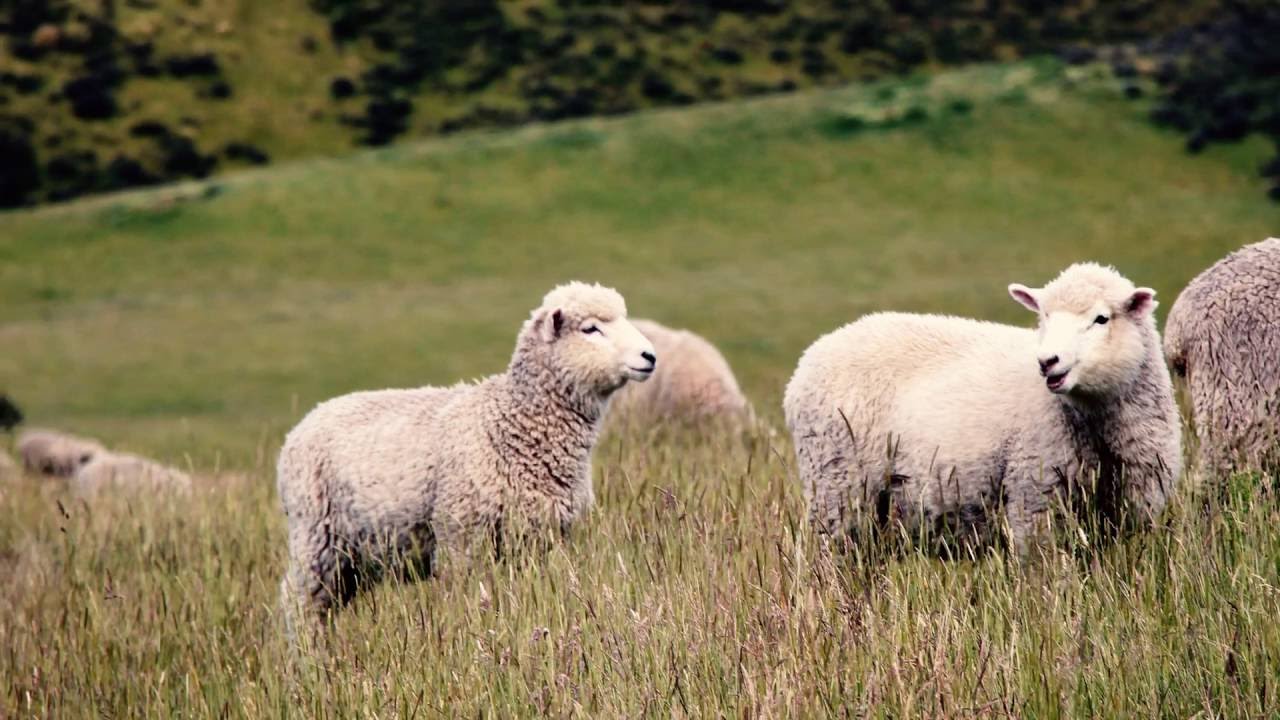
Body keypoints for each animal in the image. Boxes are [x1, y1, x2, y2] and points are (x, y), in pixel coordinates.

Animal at [280, 280, 660, 617]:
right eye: (590, 329)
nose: (650, 356)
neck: (509, 423)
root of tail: (306, 421)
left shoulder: (544, 538)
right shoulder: (461, 537)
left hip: (356, 554)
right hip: (315, 536)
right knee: (300, 603)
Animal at [783, 260, 1182, 550]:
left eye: (1101, 319)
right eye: (1043, 317)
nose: (1047, 361)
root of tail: (807, 360)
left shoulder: (1132, 512)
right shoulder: (1034, 497)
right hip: (837, 486)